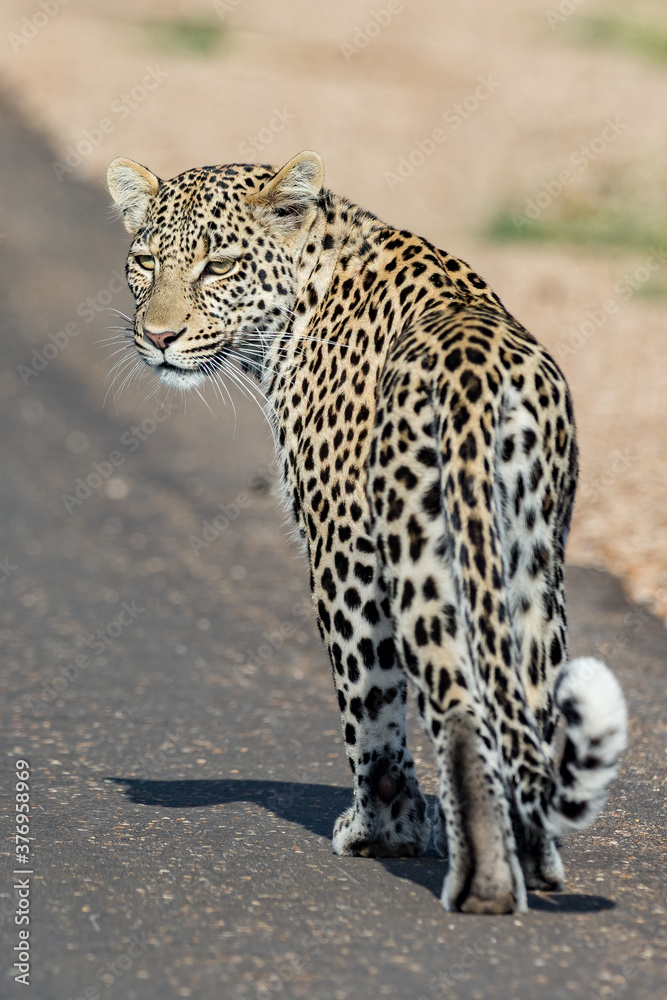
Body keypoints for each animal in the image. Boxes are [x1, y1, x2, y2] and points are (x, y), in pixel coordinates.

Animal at [107, 149, 627, 914]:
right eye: (144, 260)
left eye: (219, 265)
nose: (158, 338)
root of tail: (478, 378)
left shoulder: (341, 548)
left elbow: (369, 707)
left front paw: (381, 830)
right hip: (531, 563)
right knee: (526, 709)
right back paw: (533, 861)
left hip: (421, 564)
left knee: (458, 707)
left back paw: (482, 883)